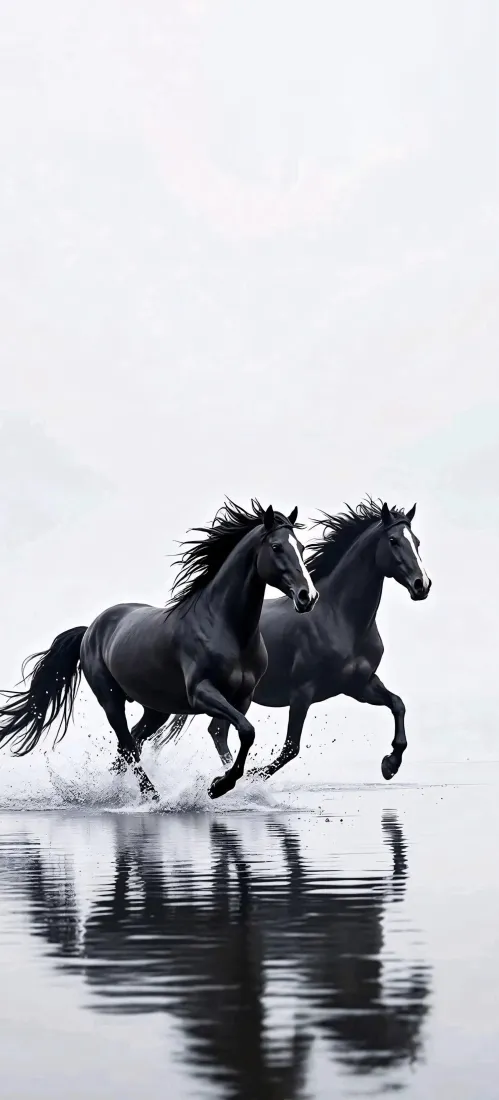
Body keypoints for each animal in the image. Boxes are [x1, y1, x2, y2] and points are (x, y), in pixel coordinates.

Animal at [0, 499, 318, 802]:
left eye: (302, 547)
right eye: (276, 547)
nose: (308, 596)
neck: (224, 626)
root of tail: (90, 629)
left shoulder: (242, 697)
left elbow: (235, 733)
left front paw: (223, 784)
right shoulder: (201, 692)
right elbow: (245, 731)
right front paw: (219, 786)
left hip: (156, 709)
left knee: (131, 743)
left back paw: (119, 792)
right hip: (111, 699)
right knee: (128, 744)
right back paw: (151, 795)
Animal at [163, 499, 431, 783]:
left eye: (417, 541)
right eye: (393, 540)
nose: (422, 585)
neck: (339, 619)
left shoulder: (360, 685)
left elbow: (398, 704)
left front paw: (390, 765)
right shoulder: (302, 692)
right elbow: (291, 748)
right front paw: (253, 777)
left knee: (217, 731)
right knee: (217, 731)